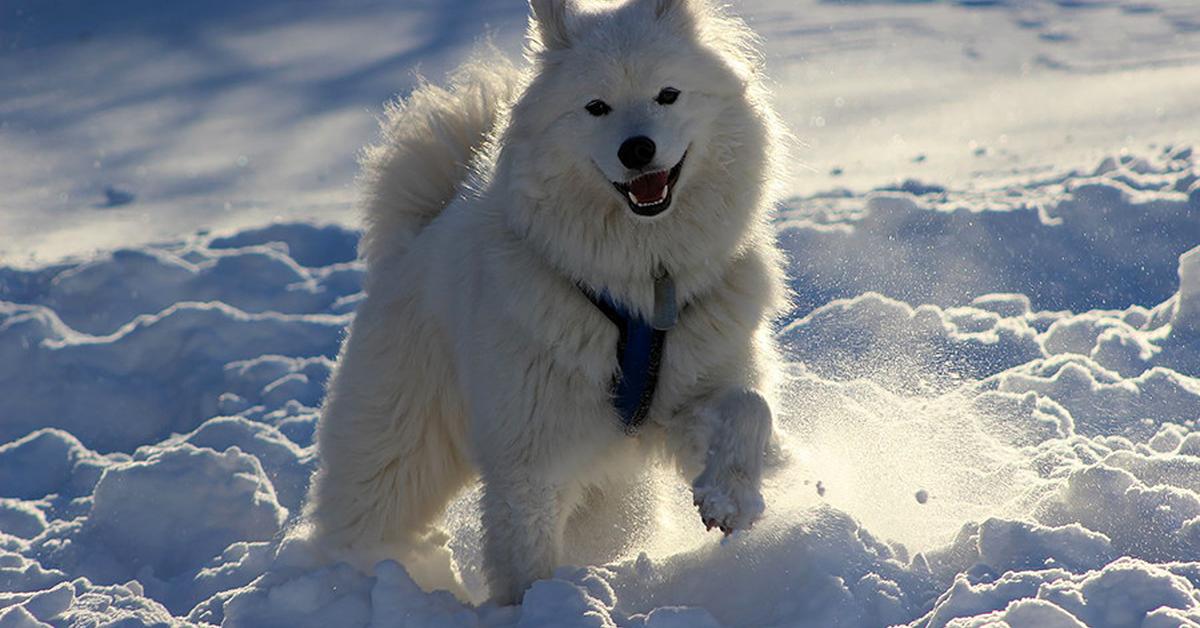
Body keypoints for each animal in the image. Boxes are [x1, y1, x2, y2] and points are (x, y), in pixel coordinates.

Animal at [312, 0, 787, 607]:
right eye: (596, 107)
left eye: (668, 94)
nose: (637, 149)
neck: (645, 284)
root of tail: (416, 239)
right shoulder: (529, 456)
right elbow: (525, 555)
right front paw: (535, 606)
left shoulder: (689, 392)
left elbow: (750, 407)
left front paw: (730, 499)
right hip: (397, 454)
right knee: (365, 516)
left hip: (611, 502)